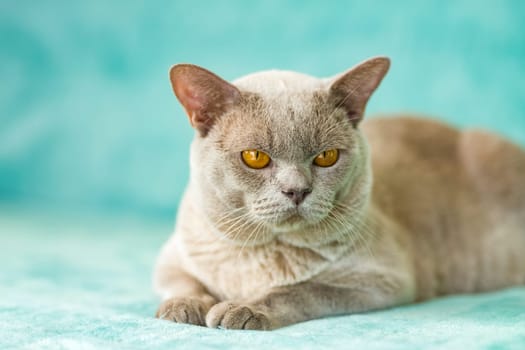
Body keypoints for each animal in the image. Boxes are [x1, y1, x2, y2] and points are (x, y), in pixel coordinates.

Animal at [154, 56, 524, 330]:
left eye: (326, 157)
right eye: (255, 157)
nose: (296, 191)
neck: (260, 254)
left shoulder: (379, 280)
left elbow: (296, 290)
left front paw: (241, 310)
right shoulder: (171, 259)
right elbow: (184, 283)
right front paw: (184, 307)